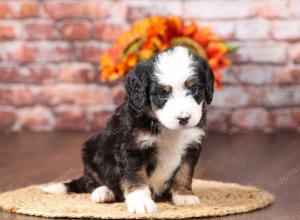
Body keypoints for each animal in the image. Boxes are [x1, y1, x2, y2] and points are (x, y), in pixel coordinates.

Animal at [43, 46, 214, 213]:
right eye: (162, 95)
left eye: (194, 89)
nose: (184, 119)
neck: (164, 126)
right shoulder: (133, 148)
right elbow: (136, 176)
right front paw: (141, 203)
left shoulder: (191, 146)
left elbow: (184, 172)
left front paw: (184, 196)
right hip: (90, 151)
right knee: (91, 180)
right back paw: (103, 192)